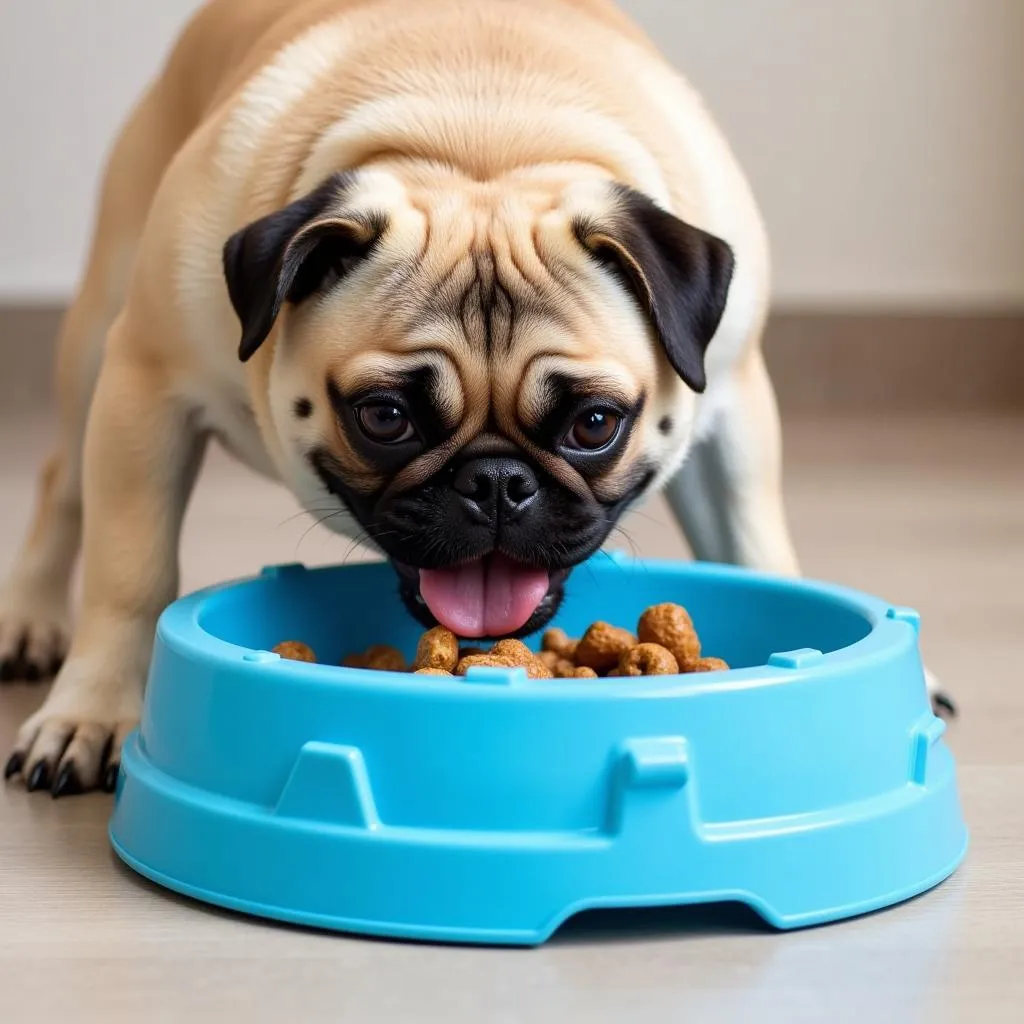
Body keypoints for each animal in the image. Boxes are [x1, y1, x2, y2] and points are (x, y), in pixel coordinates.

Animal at [2, 0, 798, 794]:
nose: (497, 481)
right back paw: (28, 621)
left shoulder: (732, 411)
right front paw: (92, 712)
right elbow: (128, 573)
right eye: (385, 419)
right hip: (99, 340)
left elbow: (751, 541)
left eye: (595, 425)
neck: (485, 145)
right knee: (63, 484)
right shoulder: (150, 386)